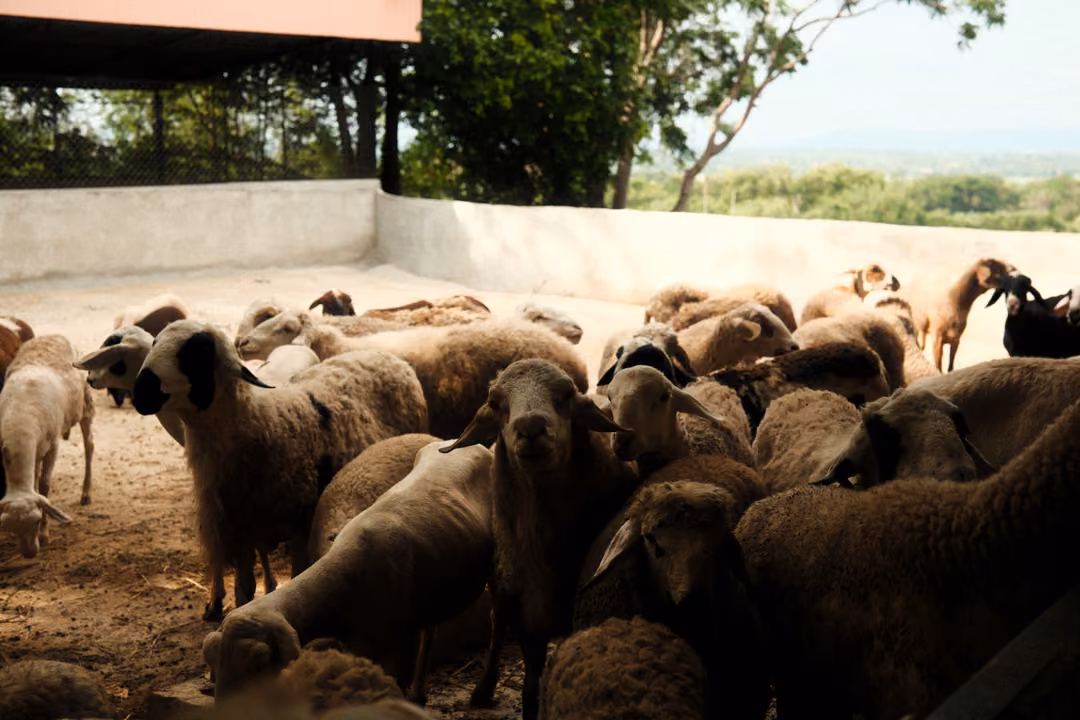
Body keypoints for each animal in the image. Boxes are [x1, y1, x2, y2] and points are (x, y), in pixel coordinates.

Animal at [0, 335, 94, 558]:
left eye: (35, 522)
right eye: (8, 527)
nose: (29, 554)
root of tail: (55, 335)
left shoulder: (52, 445)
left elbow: (43, 486)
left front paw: (44, 535)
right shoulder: (32, 450)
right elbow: (35, 486)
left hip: (85, 403)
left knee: (89, 446)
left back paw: (86, 493)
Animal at [132, 320, 428, 621]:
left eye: (198, 351)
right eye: (155, 342)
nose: (140, 392)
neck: (263, 423)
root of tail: (387, 356)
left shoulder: (301, 528)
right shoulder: (242, 532)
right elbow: (245, 590)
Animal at [202, 439, 494, 703]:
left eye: (259, 664)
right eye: (214, 662)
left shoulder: (395, 644)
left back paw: (481, 693)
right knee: (430, 629)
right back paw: (419, 695)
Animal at [439, 358, 639, 720]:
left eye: (566, 396)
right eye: (496, 403)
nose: (531, 427)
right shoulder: (526, 608)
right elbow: (531, 680)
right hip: (501, 581)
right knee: (496, 625)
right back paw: (483, 689)